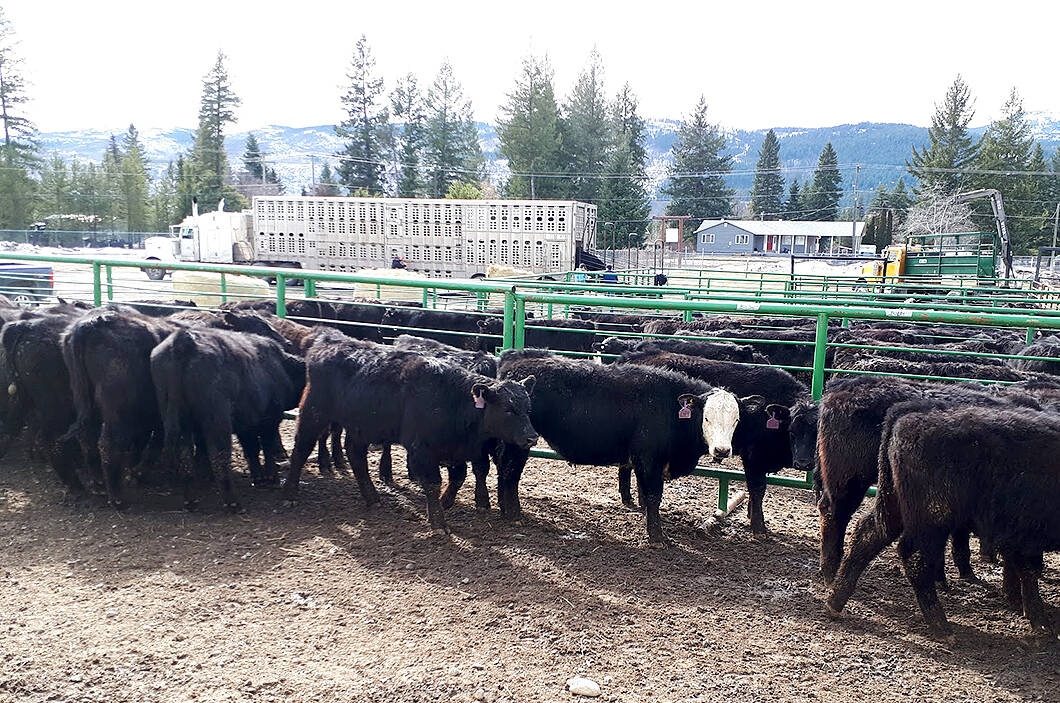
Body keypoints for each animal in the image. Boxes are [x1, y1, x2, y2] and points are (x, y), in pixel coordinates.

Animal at [149, 324, 307, 511]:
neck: (281, 365)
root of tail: (184, 341)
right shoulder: (269, 419)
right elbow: (266, 447)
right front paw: (271, 478)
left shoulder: (246, 424)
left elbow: (251, 449)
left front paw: (259, 478)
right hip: (218, 418)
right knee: (219, 454)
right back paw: (233, 503)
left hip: (177, 419)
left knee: (185, 456)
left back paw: (191, 500)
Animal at [281, 330, 538, 534]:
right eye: (507, 409)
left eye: (528, 408)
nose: (532, 437)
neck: (452, 400)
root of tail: (328, 343)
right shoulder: (422, 448)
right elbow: (433, 483)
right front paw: (439, 523)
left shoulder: (455, 448)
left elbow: (459, 476)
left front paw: (446, 502)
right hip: (314, 411)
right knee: (302, 447)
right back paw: (290, 494)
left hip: (360, 425)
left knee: (355, 455)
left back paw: (372, 498)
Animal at [496, 349, 746, 542]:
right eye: (707, 418)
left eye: (736, 420)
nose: (722, 450)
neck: (669, 408)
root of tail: (514, 356)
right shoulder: (649, 459)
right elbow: (653, 495)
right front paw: (657, 537)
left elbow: (644, 492)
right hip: (520, 443)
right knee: (511, 473)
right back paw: (515, 514)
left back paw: (502, 509)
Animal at [826, 400, 1060, 636]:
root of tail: (903, 416)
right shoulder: (1027, 533)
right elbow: (1028, 572)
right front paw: (1041, 625)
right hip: (933, 520)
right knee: (914, 558)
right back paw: (942, 627)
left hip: (892, 504)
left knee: (867, 534)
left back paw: (835, 602)